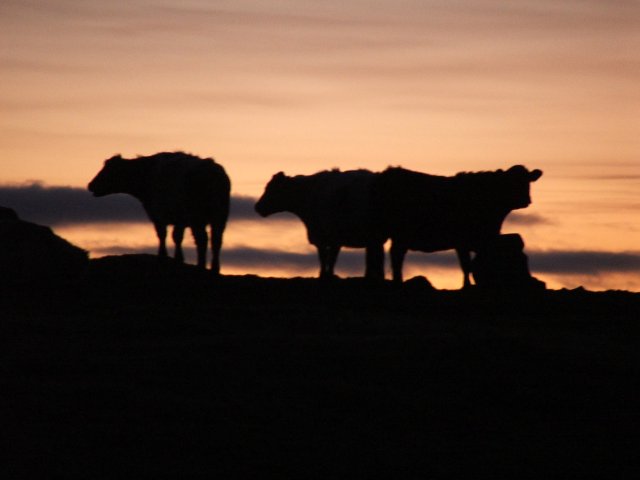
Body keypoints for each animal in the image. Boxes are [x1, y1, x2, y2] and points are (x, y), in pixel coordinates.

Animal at [88, 153, 230, 274]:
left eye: (108, 170)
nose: (90, 185)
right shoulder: (179, 219)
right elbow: (177, 237)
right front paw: (177, 258)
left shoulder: (159, 215)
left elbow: (164, 235)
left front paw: (164, 256)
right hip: (220, 217)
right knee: (216, 240)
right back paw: (214, 268)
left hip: (197, 217)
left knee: (202, 239)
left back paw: (201, 266)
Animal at [254, 170, 384, 280]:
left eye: (271, 188)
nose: (258, 207)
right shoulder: (332, 239)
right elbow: (330, 258)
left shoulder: (324, 236)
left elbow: (326, 258)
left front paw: (324, 275)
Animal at [372, 165, 544, 286]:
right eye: (511, 182)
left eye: (527, 182)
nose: (525, 200)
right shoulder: (463, 241)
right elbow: (467, 265)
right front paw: (467, 286)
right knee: (396, 257)